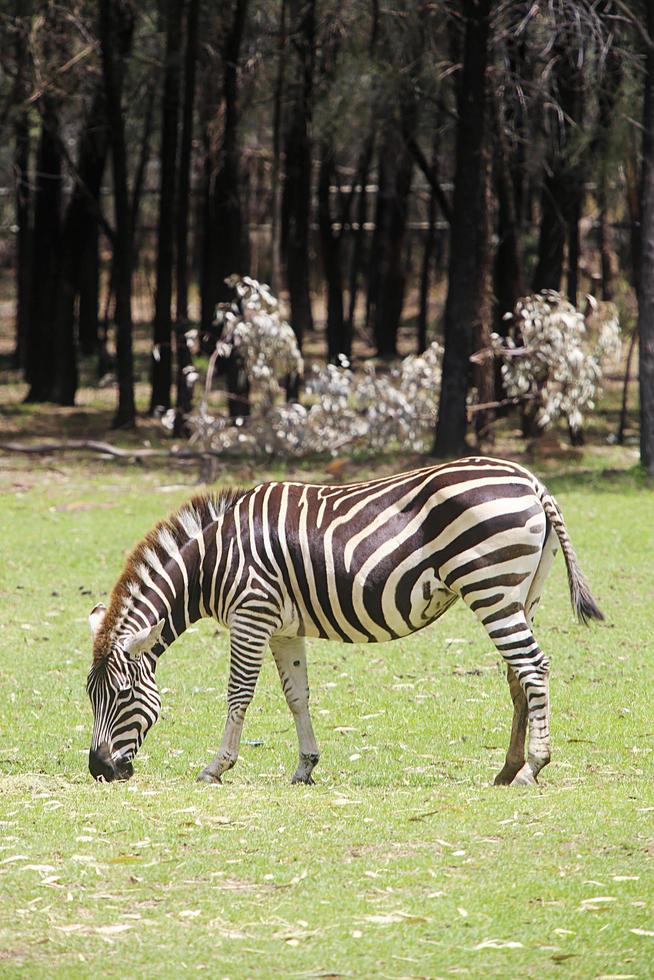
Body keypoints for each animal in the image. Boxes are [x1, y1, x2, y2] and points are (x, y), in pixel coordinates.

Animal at [87, 456, 604, 784]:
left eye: (124, 695)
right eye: (90, 697)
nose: (98, 770)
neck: (212, 561)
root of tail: (532, 481)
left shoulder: (251, 615)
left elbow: (238, 694)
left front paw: (216, 768)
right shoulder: (282, 628)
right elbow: (297, 696)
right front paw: (305, 767)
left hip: (490, 588)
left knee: (533, 667)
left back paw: (533, 767)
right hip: (521, 592)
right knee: (519, 676)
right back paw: (507, 769)